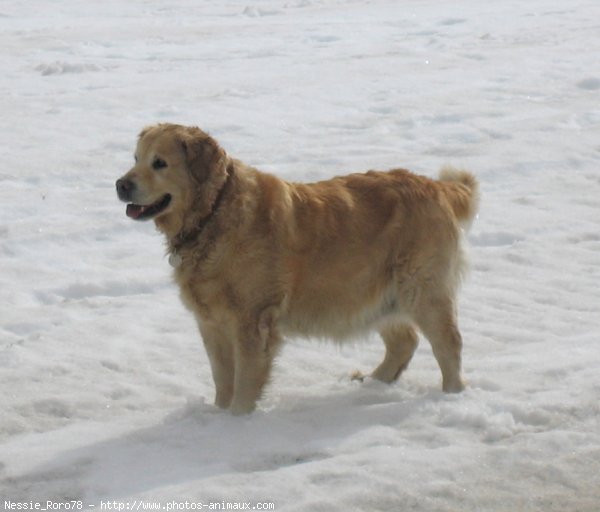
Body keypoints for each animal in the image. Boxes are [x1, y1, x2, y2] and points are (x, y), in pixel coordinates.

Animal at [116, 124, 478, 416]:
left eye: (159, 163)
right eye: (135, 157)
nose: (120, 185)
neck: (213, 214)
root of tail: (437, 186)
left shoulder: (251, 322)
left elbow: (244, 381)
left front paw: (236, 423)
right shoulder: (211, 324)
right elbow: (222, 378)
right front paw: (218, 416)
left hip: (421, 290)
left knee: (448, 342)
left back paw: (451, 395)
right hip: (374, 292)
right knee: (404, 340)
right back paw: (373, 382)